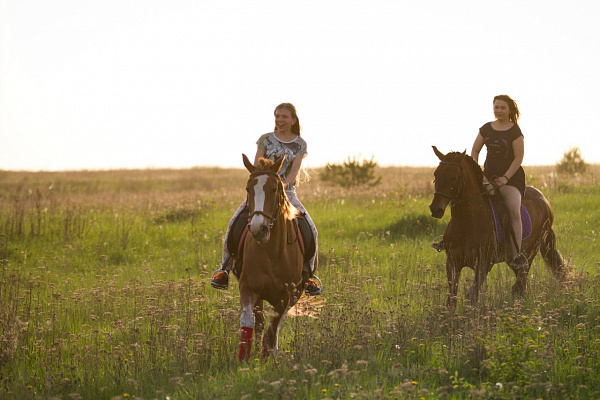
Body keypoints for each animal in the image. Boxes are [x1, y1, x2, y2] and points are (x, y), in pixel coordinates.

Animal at [237, 153, 308, 362]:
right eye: (248, 188)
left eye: (274, 189)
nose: (257, 229)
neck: (271, 253)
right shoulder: (248, 288)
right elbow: (249, 323)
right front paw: (244, 361)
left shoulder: (285, 295)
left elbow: (272, 330)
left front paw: (267, 358)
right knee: (259, 322)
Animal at [426, 147, 568, 310]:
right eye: (436, 174)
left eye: (454, 177)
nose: (435, 209)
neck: (467, 222)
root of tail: (544, 201)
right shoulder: (452, 263)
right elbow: (452, 299)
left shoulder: (483, 265)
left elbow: (471, 297)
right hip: (513, 260)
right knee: (520, 285)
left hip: (531, 252)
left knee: (521, 284)